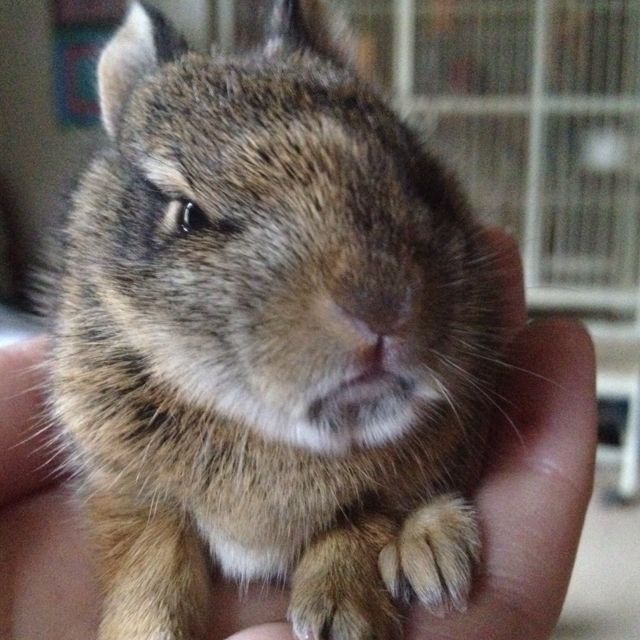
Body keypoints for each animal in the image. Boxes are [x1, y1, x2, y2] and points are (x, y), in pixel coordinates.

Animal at [50, 2, 508, 636]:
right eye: (189, 215)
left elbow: (359, 524)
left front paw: (343, 612)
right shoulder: (131, 495)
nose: (383, 306)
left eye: (413, 177)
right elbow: (151, 571)